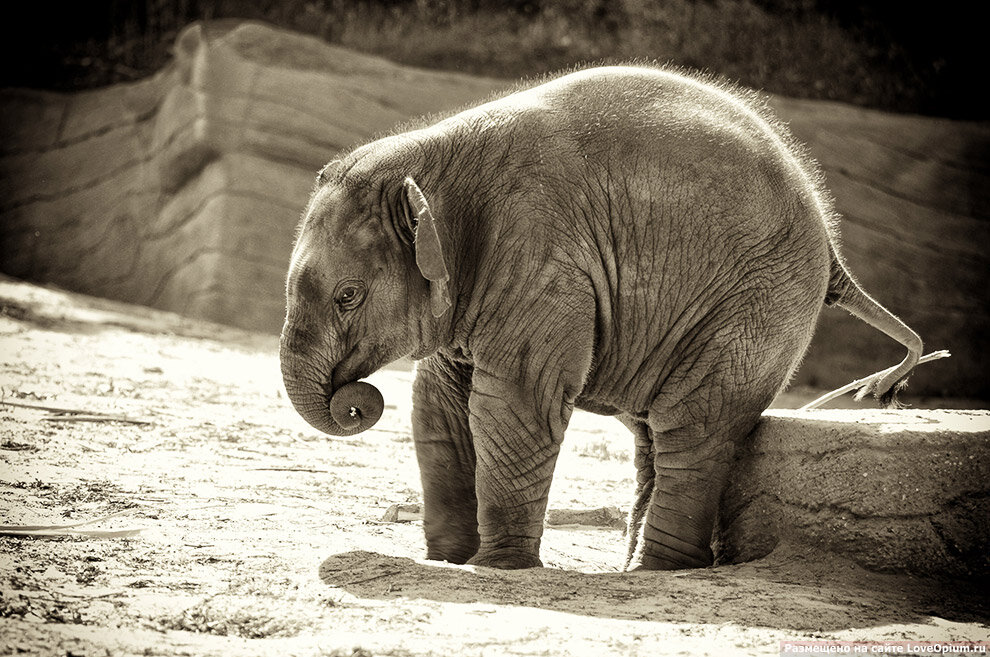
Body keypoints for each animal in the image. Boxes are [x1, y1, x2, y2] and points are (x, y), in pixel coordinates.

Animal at [280, 65, 924, 568]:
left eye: (347, 296)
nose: (353, 401)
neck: (431, 158)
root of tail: (833, 251)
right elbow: (437, 405)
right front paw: (447, 560)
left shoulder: (541, 261)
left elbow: (514, 401)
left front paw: (497, 567)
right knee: (652, 436)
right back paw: (639, 565)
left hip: (757, 305)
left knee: (692, 427)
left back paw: (654, 571)